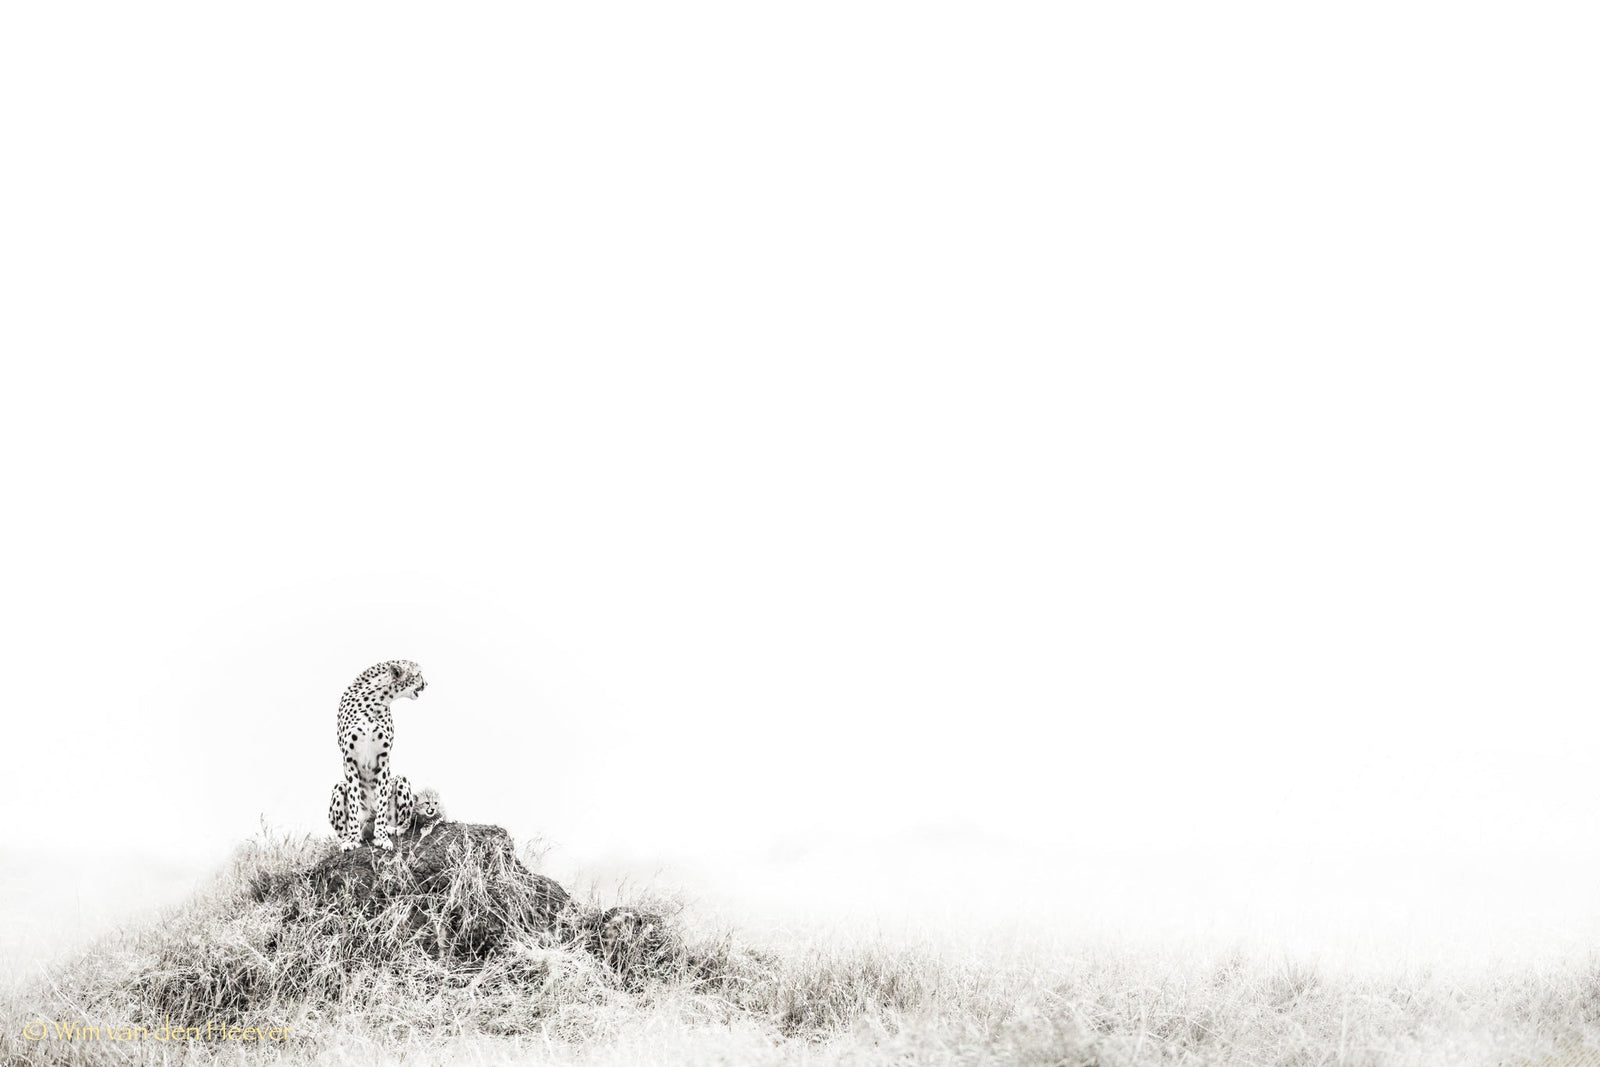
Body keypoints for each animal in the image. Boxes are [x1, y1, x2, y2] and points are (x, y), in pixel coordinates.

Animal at [328, 659, 426, 851]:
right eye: (418, 674)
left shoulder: (383, 759)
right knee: (343, 828)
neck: (374, 701)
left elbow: (381, 802)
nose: (426, 684)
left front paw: (382, 836)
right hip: (339, 787)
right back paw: (350, 838)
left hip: (401, 780)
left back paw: (391, 829)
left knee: (403, 822)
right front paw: (352, 839)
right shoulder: (349, 760)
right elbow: (353, 802)